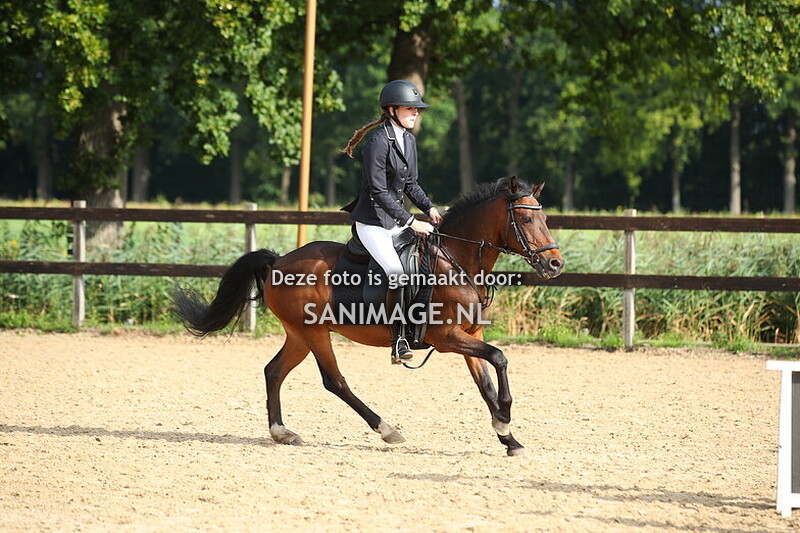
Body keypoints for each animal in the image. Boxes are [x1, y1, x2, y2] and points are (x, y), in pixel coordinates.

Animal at [171, 176, 564, 456]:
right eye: (525, 218)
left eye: (545, 217)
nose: (555, 264)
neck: (455, 260)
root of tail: (279, 261)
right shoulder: (447, 338)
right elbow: (500, 357)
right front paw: (505, 419)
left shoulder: (471, 336)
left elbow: (486, 384)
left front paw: (508, 437)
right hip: (314, 333)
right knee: (334, 381)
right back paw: (387, 430)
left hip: (299, 335)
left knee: (274, 371)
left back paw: (282, 432)